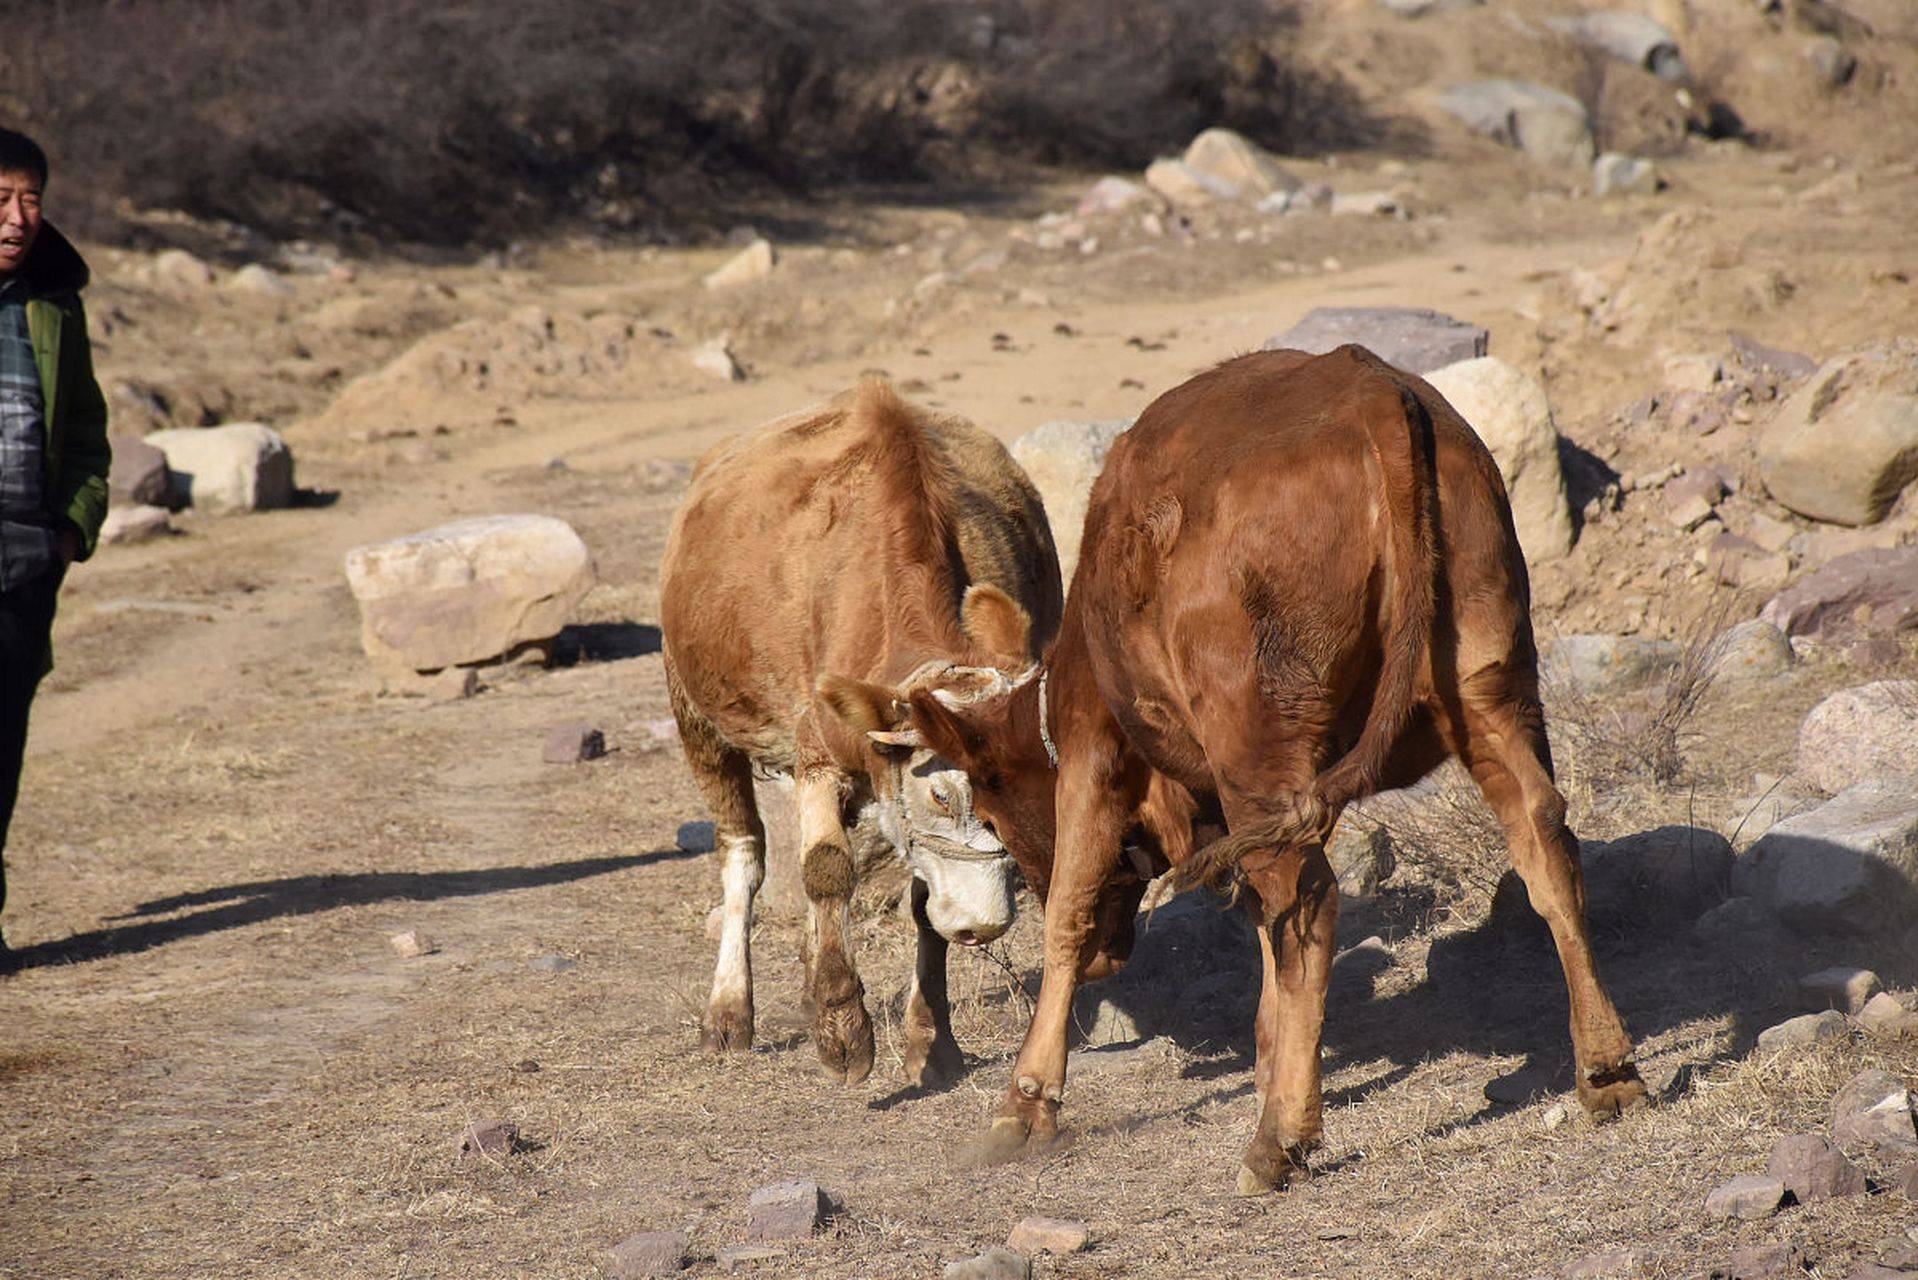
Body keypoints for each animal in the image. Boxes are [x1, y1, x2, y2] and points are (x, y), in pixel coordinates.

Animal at [659, 379, 1066, 1082]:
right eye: (940, 794)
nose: (984, 926)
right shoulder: (816, 748)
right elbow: (824, 868)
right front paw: (841, 1026)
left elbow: (921, 903)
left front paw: (932, 1038)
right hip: (694, 713)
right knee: (744, 852)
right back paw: (728, 1013)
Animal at [897, 347, 1649, 1189]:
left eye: (991, 816)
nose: (1110, 960)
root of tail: (1371, 389)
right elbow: (1259, 922)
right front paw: (1272, 1054)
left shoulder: (1096, 752)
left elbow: (1069, 910)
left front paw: (1026, 1102)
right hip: (1492, 684)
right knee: (1542, 836)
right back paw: (1608, 1070)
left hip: (1257, 738)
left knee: (1311, 899)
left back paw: (1279, 1141)